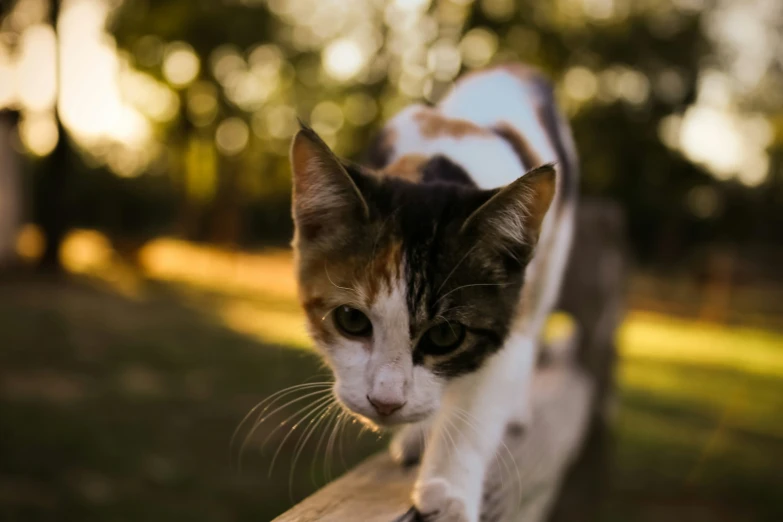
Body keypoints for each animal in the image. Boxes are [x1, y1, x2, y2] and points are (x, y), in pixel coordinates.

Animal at [290, 63, 580, 516]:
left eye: (445, 335)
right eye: (350, 319)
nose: (385, 401)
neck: (434, 164)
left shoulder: (507, 309)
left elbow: (481, 397)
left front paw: (448, 490)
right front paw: (420, 431)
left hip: (552, 257)